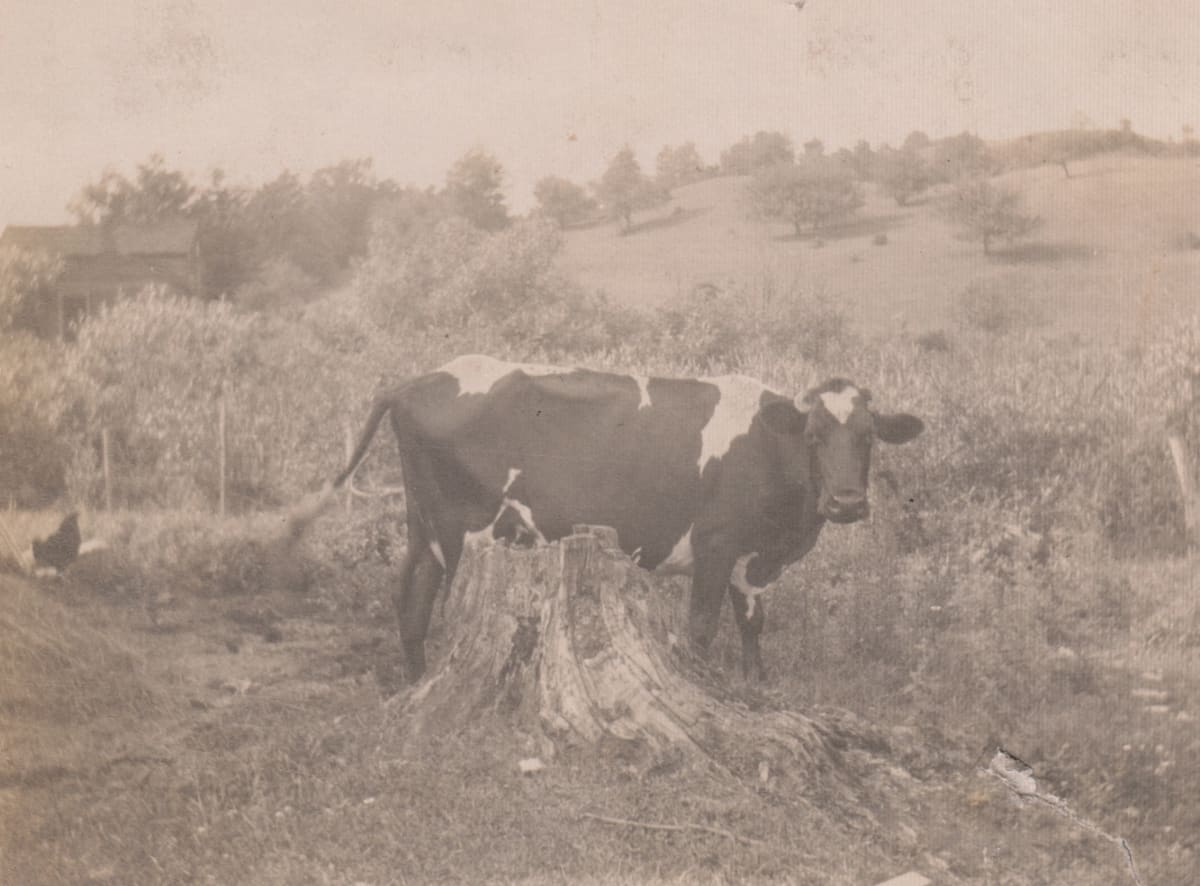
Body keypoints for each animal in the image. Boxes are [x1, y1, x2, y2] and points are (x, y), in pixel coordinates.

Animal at [328, 355, 923, 681]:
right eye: (814, 437)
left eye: (869, 437)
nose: (846, 502)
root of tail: (413, 382)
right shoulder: (715, 544)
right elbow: (702, 627)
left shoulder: (751, 557)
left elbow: (753, 623)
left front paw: (757, 685)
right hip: (466, 533)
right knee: (442, 611)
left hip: (425, 530)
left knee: (411, 606)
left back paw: (416, 682)